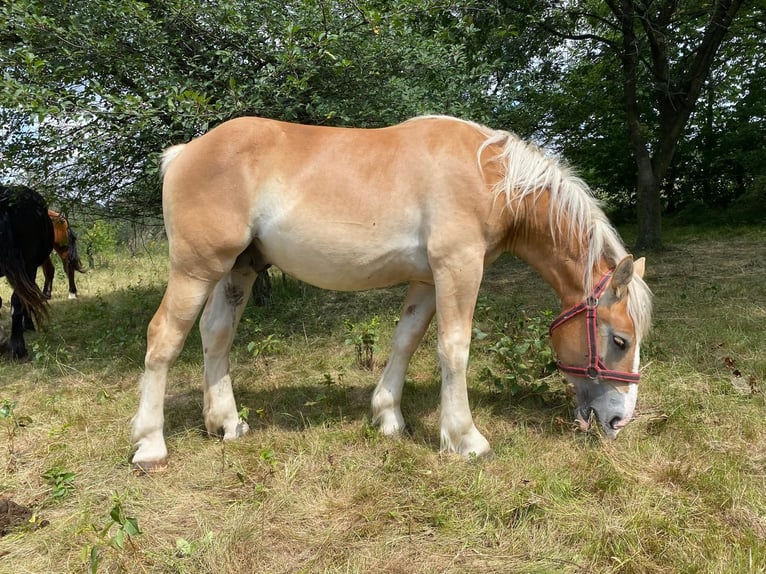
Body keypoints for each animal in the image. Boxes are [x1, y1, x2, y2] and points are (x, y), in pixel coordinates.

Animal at [130, 115, 656, 474]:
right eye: (621, 341)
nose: (619, 420)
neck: (491, 177)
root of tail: (185, 152)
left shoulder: (427, 280)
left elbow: (406, 341)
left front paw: (388, 418)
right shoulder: (458, 268)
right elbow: (454, 349)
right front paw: (464, 438)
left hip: (236, 270)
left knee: (215, 335)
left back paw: (226, 423)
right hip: (196, 268)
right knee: (163, 339)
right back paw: (150, 444)